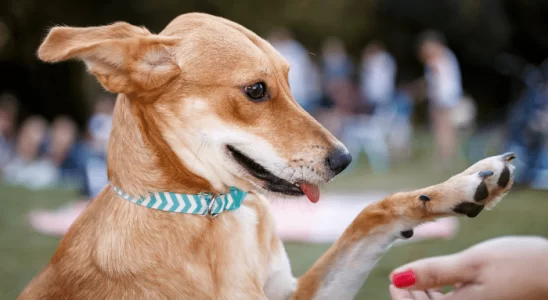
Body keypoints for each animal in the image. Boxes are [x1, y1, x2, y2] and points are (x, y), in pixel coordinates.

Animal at [19, 12, 516, 300]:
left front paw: (456, 188)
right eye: (257, 90)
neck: (215, 216)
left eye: (291, 81)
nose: (344, 159)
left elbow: (369, 215)